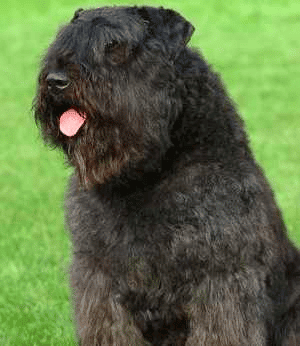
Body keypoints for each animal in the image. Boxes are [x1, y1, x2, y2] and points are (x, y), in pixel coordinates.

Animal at [33, 6, 300, 346]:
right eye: (63, 39)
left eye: (115, 46)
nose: (56, 80)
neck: (146, 175)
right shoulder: (99, 278)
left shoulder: (221, 279)